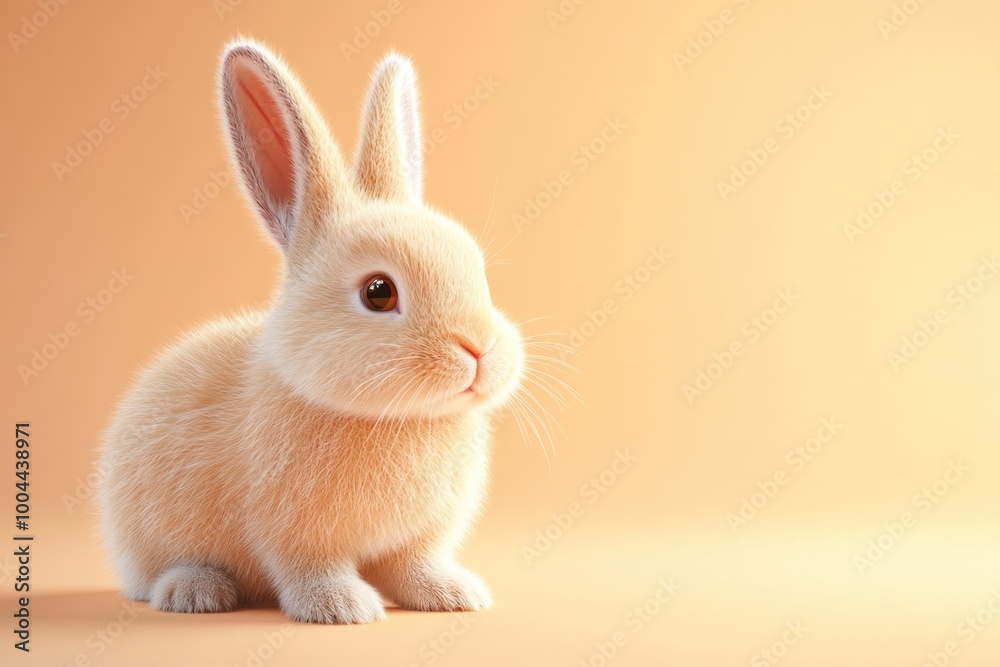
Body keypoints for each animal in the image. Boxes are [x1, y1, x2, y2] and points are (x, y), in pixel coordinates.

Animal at [96, 37, 524, 624]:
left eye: (476, 269)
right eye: (378, 292)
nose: (480, 349)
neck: (400, 418)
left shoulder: (417, 541)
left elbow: (415, 565)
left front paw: (454, 594)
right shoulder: (293, 536)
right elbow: (309, 569)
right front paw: (343, 607)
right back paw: (194, 592)